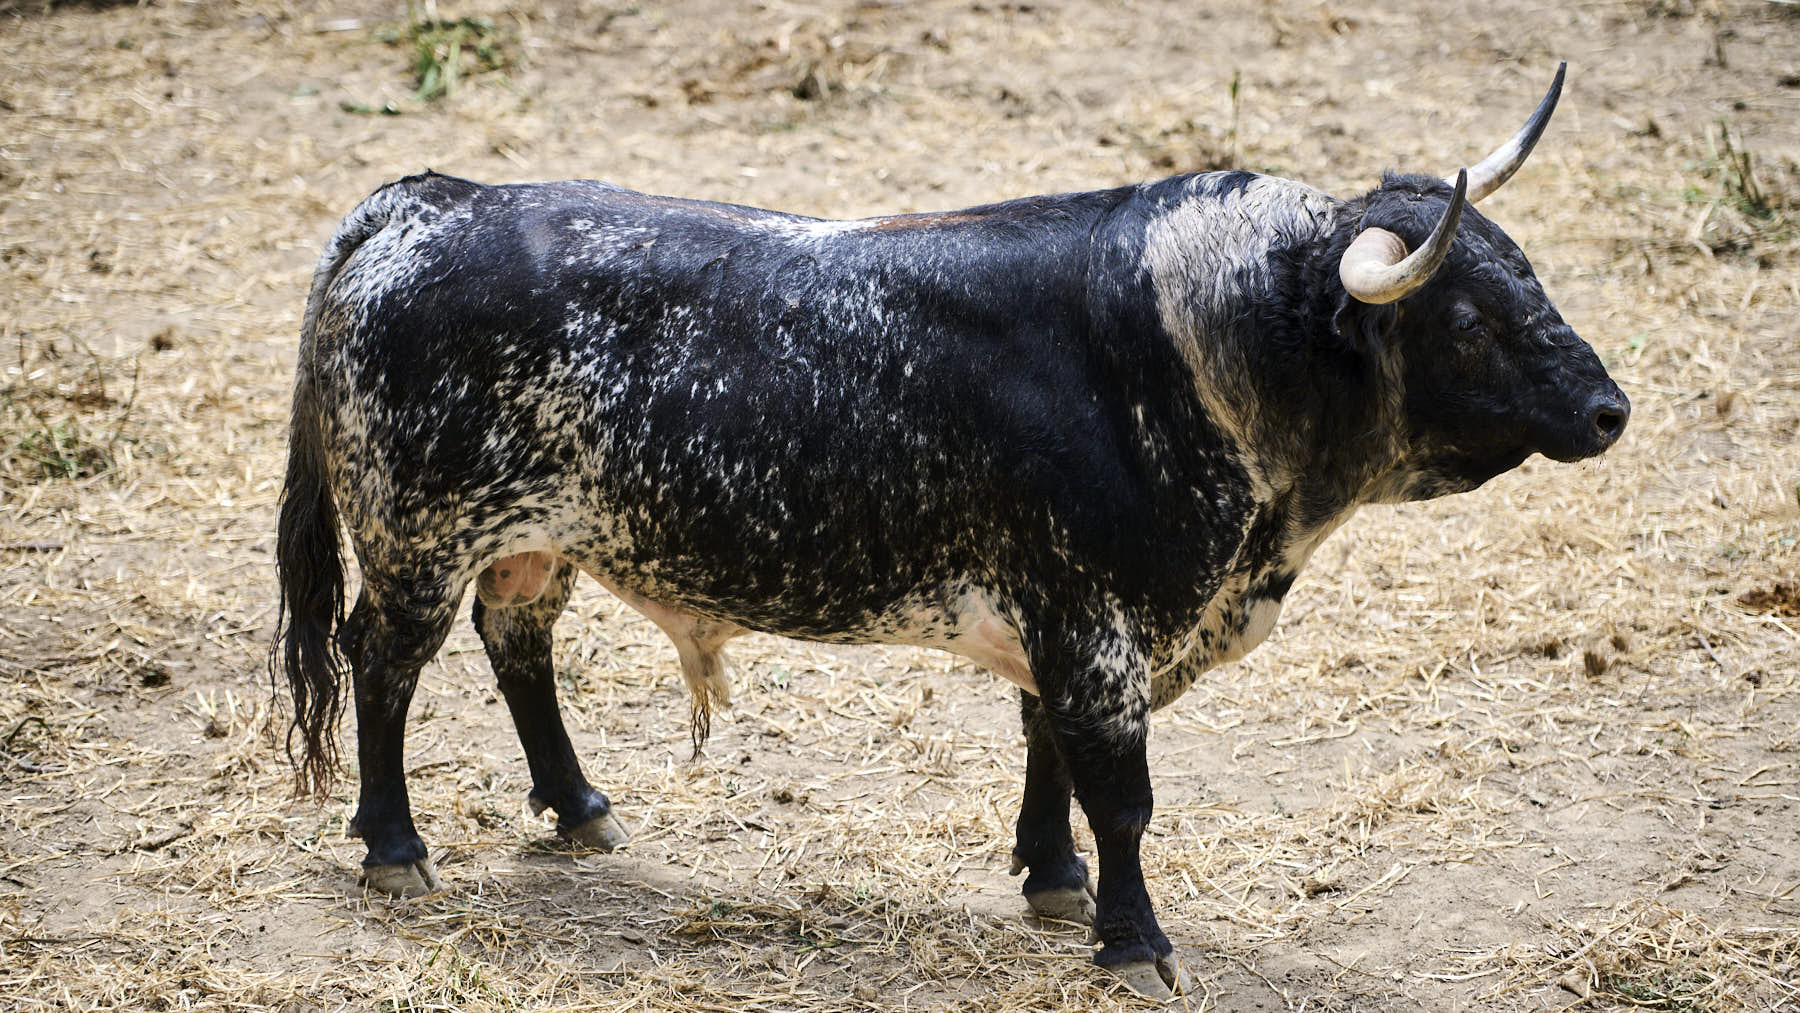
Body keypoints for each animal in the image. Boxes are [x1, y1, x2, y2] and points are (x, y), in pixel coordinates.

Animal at [270, 63, 1634, 1000]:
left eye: (1528, 272)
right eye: (1466, 322)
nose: (1610, 408)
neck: (1200, 346)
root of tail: (428, 201)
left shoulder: (1067, 625)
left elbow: (1049, 756)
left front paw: (1053, 879)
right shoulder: (1097, 627)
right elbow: (1122, 793)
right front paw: (1135, 940)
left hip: (529, 540)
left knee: (519, 644)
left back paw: (578, 804)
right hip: (416, 539)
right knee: (381, 664)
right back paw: (395, 845)